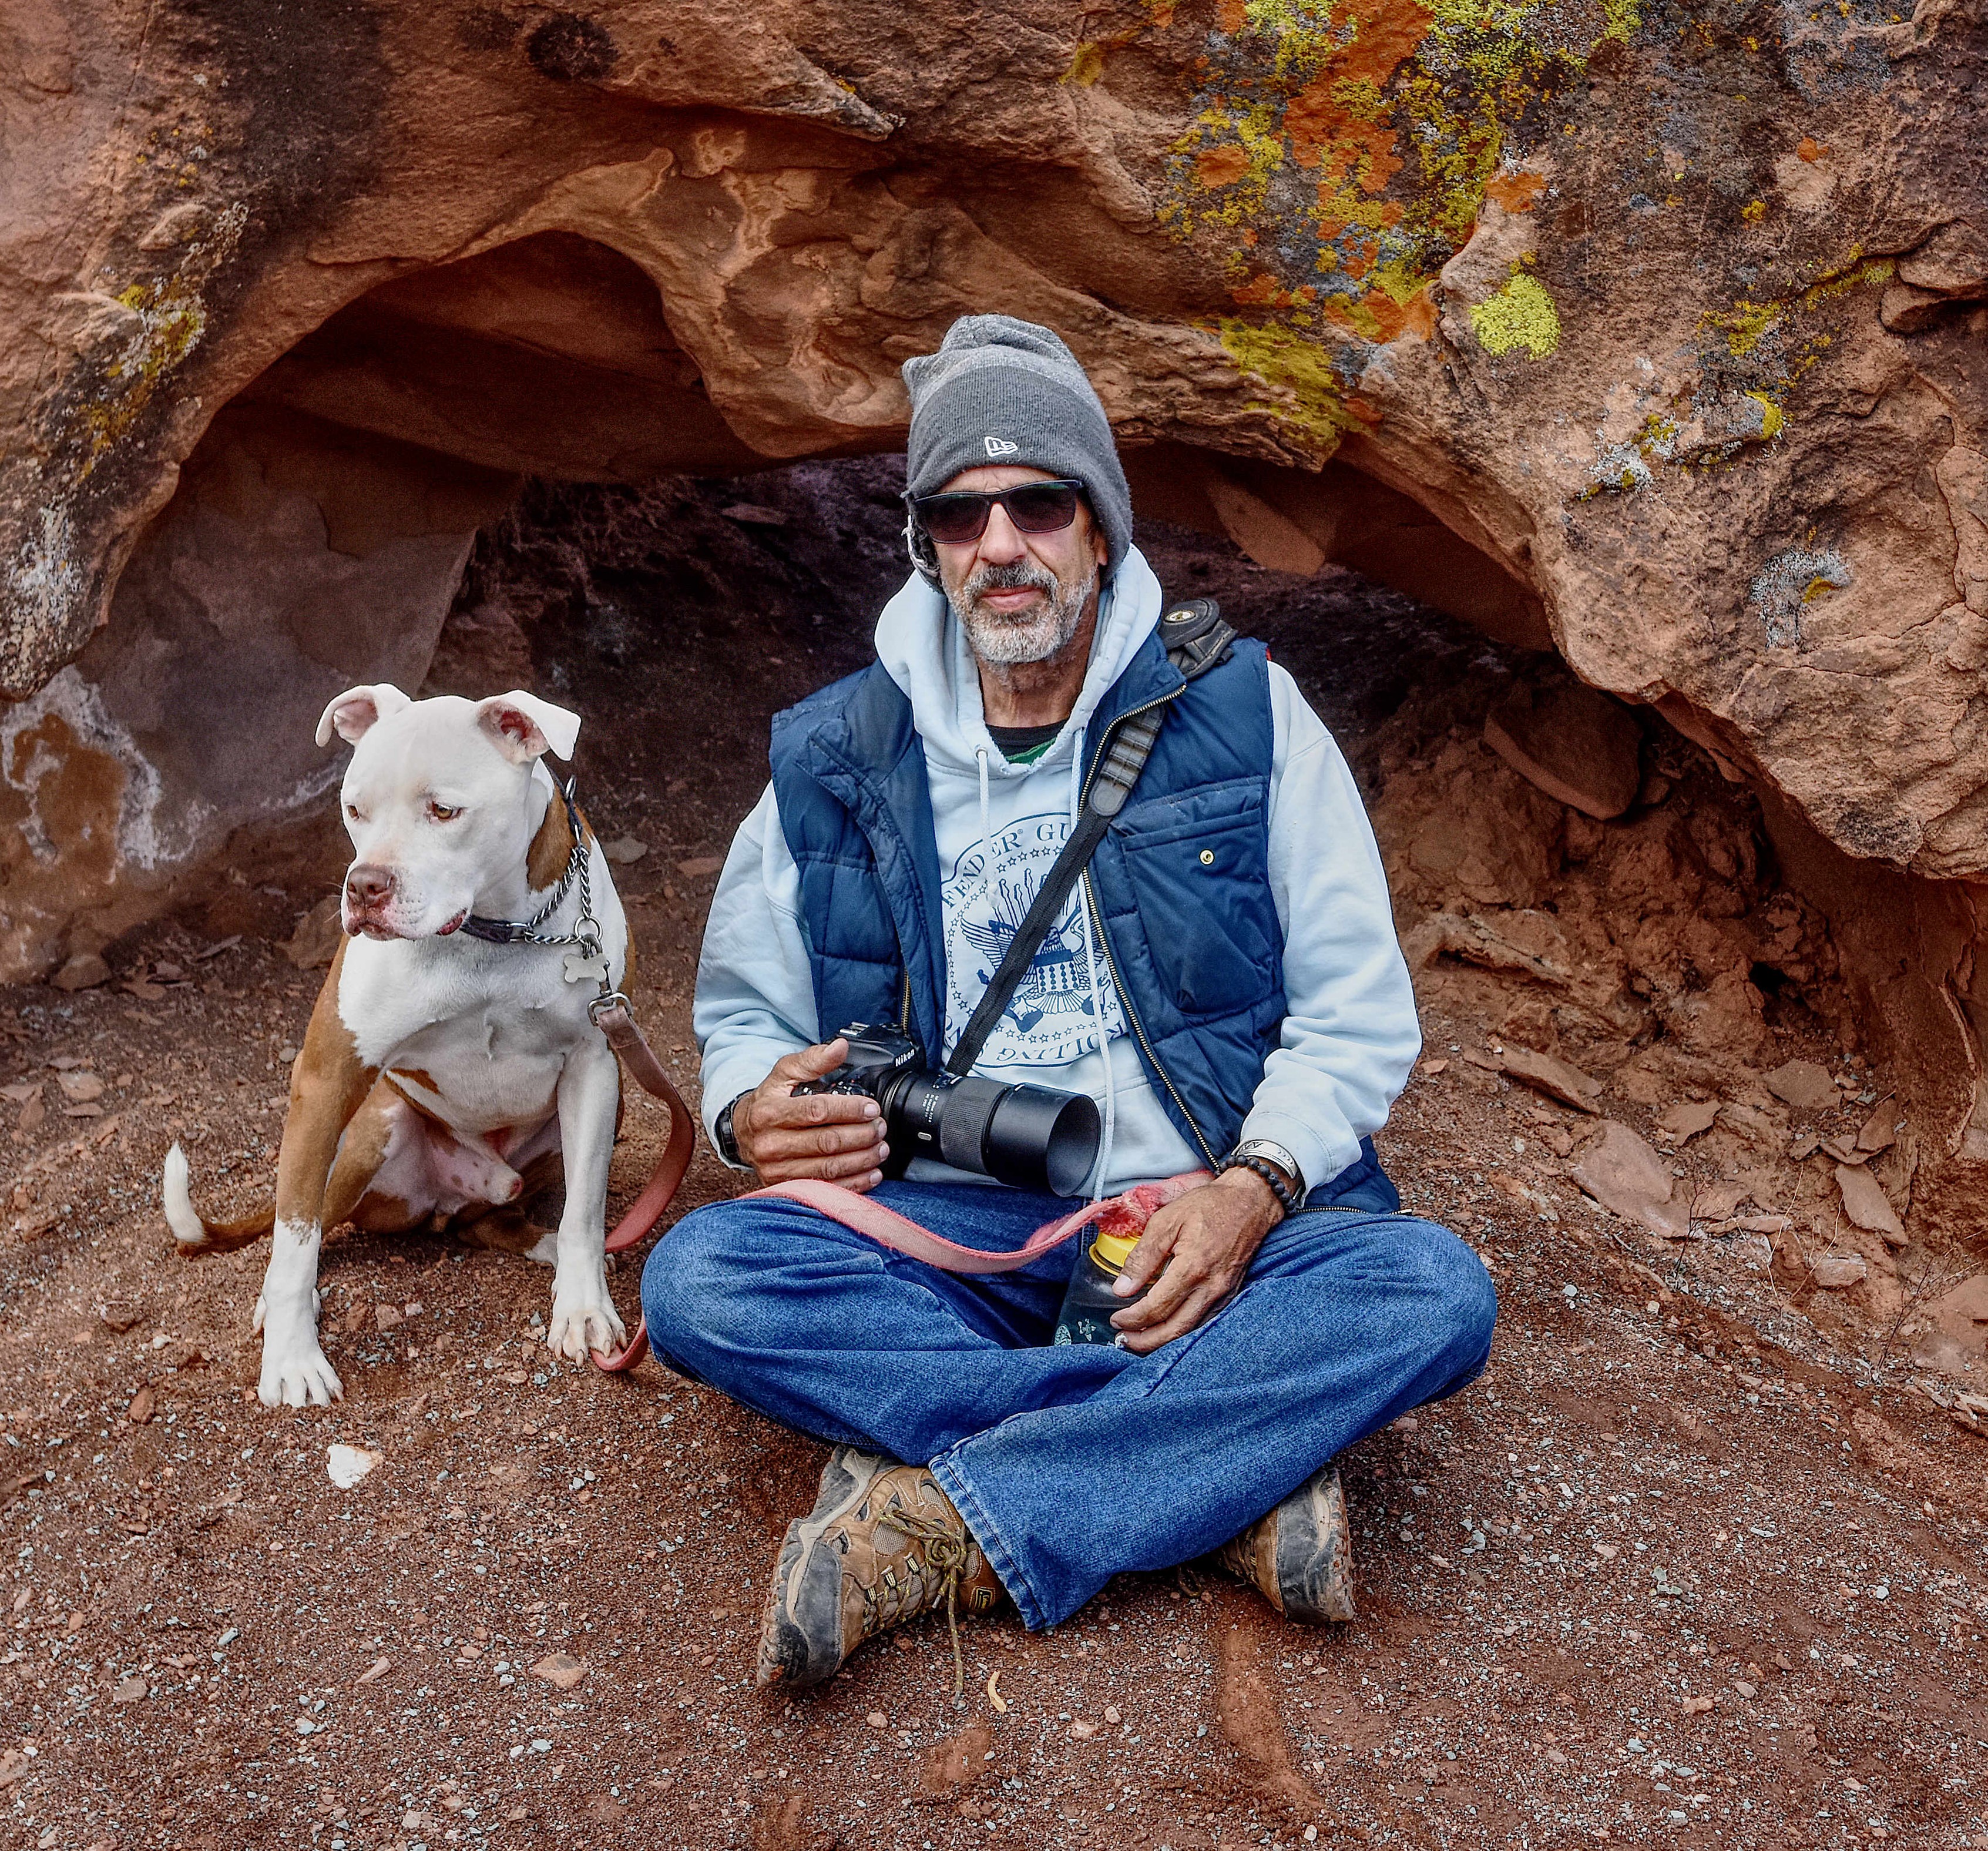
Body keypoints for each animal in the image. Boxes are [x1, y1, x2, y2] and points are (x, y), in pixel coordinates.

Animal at [166, 688, 628, 1407]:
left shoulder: (594, 1062)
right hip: (372, 1131)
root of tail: (458, 1191)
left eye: (443, 810)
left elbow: (585, 1207)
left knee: (487, 1222)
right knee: (312, 1221)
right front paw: (292, 1360)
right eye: (354, 809)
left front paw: (581, 1308)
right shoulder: (327, 1076)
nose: (364, 887)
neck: (491, 933)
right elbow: (294, 1235)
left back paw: (544, 1246)